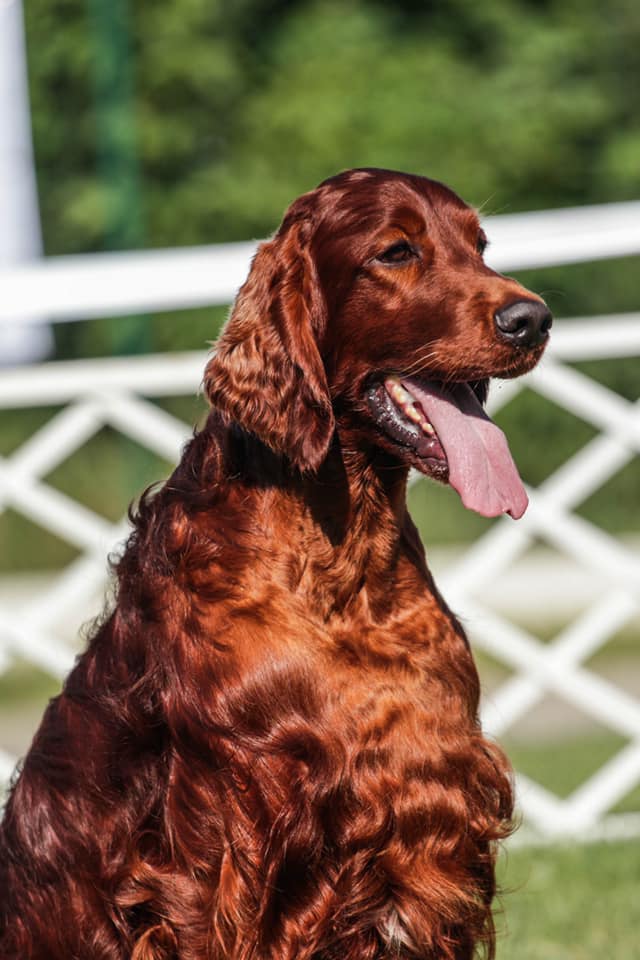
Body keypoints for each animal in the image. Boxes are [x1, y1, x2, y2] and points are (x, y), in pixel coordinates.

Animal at [0, 168, 551, 959]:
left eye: (480, 247)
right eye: (396, 252)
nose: (532, 320)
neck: (343, 567)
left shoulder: (434, 804)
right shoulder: (229, 828)